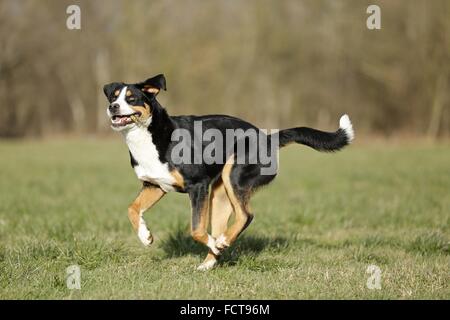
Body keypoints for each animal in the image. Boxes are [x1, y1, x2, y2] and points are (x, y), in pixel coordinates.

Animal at [103, 74, 354, 270]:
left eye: (131, 98)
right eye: (113, 97)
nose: (112, 107)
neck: (149, 136)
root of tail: (267, 138)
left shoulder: (198, 186)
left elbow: (196, 229)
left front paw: (214, 242)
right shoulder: (155, 185)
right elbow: (132, 208)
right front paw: (145, 236)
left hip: (234, 176)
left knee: (246, 215)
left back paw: (221, 244)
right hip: (219, 196)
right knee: (228, 222)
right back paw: (209, 261)